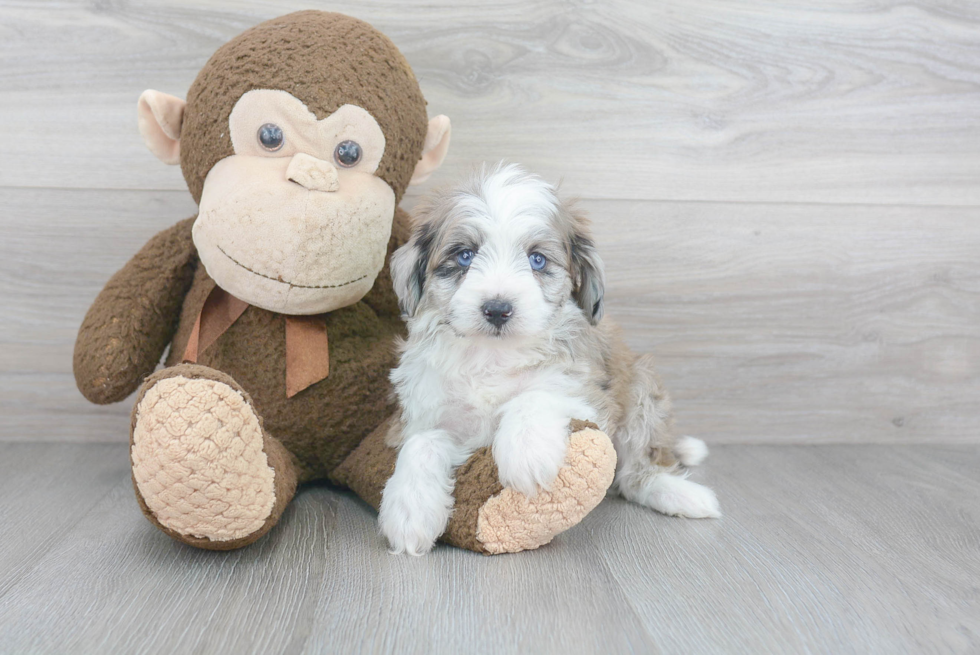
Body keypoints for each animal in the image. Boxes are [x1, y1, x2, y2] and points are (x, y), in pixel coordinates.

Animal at [378, 163, 716, 552]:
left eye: (536, 259)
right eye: (464, 255)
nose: (497, 309)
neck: (493, 356)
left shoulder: (590, 397)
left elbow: (537, 395)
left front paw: (527, 452)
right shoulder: (420, 413)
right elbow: (421, 442)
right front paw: (409, 509)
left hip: (642, 387)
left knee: (637, 472)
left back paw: (679, 493)